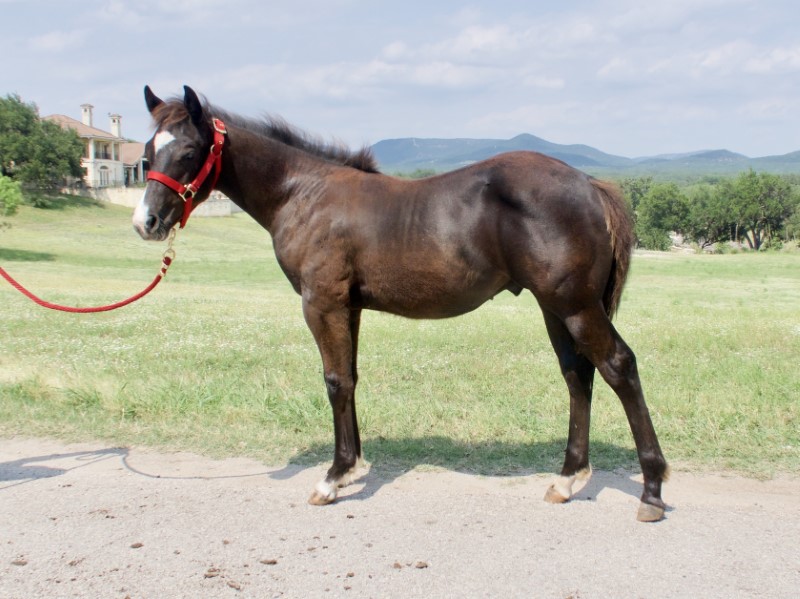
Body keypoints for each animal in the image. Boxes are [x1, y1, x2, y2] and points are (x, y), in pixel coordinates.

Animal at [136, 86, 668, 524]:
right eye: (146, 153)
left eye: (189, 150)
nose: (147, 223)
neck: (304, 193)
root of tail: (591, 185)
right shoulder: (348, 307)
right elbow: (349, 379)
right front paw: (351, 467)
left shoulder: (322, 303)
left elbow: (334, 381)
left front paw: (332, 478)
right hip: (555, 307)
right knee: (578, 375)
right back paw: (567, 480)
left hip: (574, 304)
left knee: (619, 366)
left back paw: (651, 492)